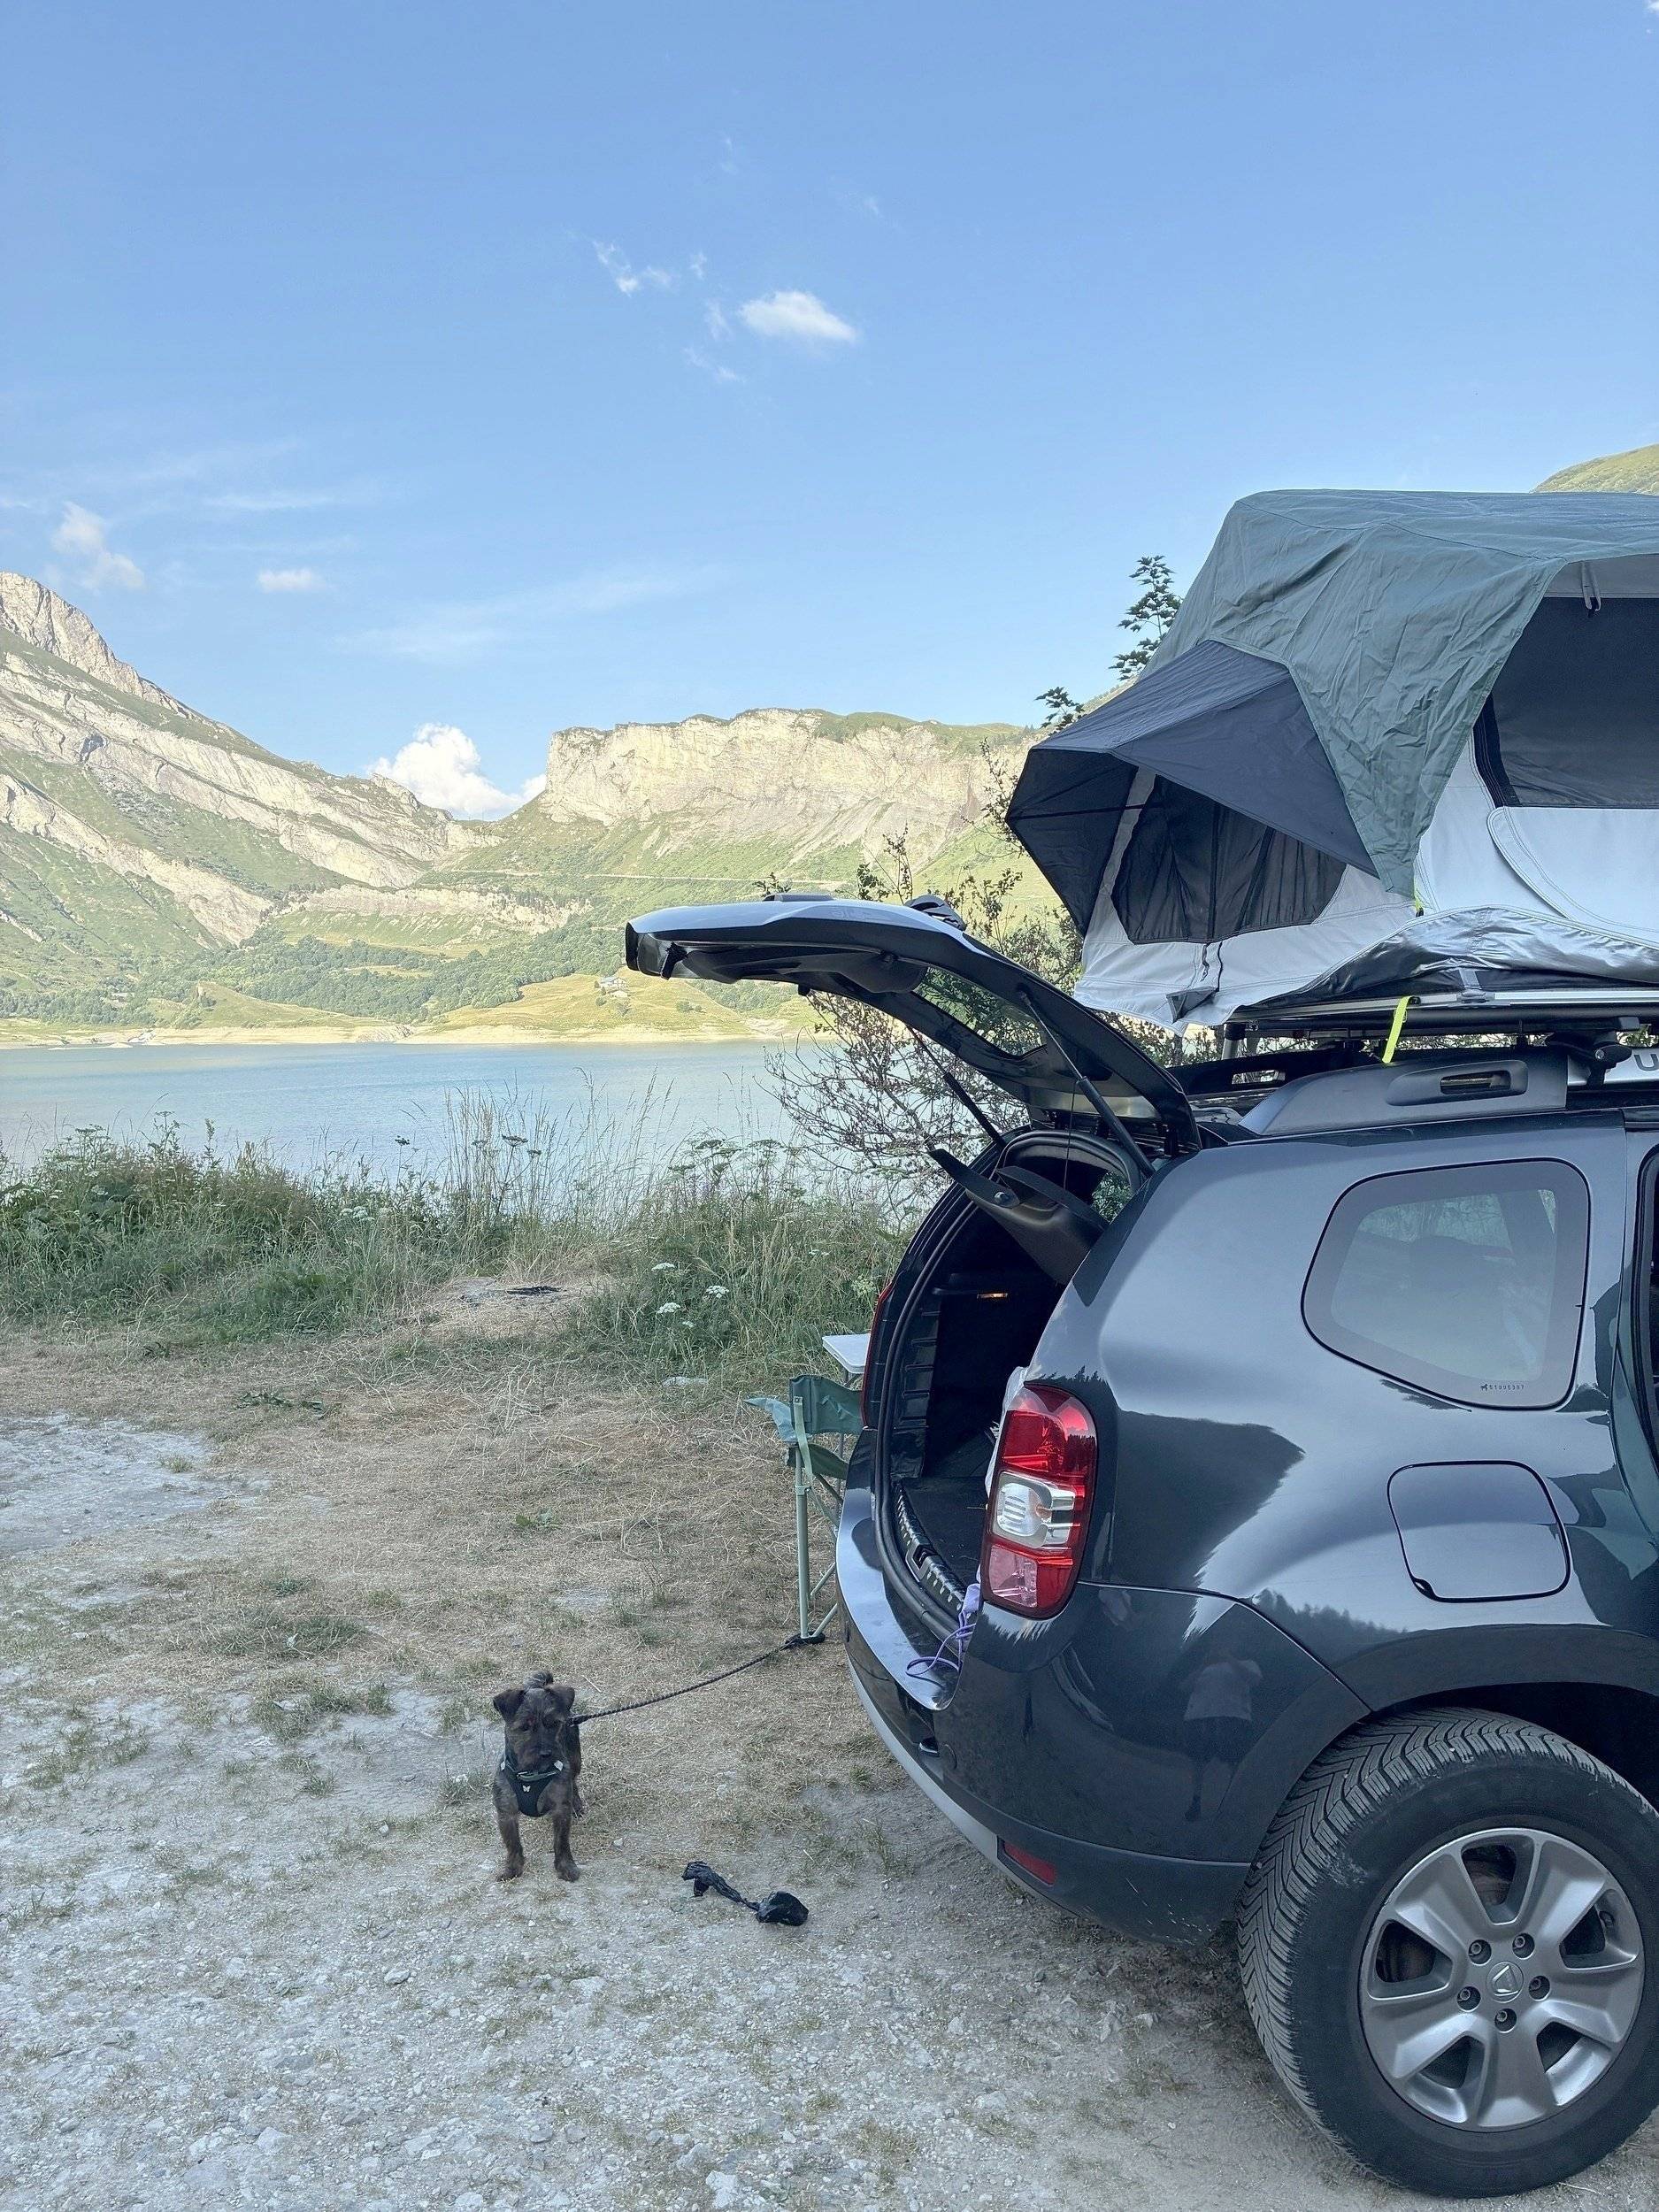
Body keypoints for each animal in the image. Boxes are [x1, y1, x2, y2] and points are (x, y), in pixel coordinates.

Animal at [491, 1672, 584, 1882]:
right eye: (525, 1727)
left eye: (553, 1724)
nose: (546, 1753)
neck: (532, 1773)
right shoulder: (506, 1812)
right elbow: (513, 1844)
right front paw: (512, 1869)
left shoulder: (560, 1808)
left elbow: (561, 1842)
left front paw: (566, 1867)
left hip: (575, 1758)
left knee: (573, 1781)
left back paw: (577, 1804)